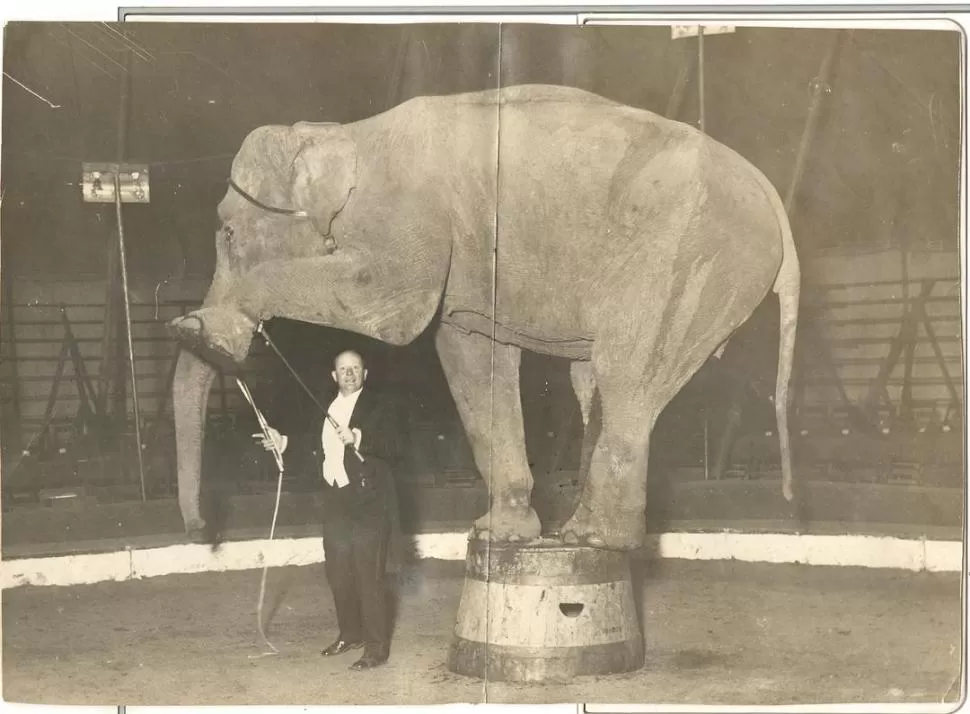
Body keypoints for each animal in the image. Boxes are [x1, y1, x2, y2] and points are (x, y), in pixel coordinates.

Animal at [170, 83, 796, 552]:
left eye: (228, 232)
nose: (200, 532)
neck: (345, 133)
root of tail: (775, 203)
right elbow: (467, 355)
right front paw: (501, 535)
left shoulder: (411, 217)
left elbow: (394, 309)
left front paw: (214, 327)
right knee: (598, 381)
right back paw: (574, 532)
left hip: (690, 259)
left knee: (624, 376)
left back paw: (596, 539)